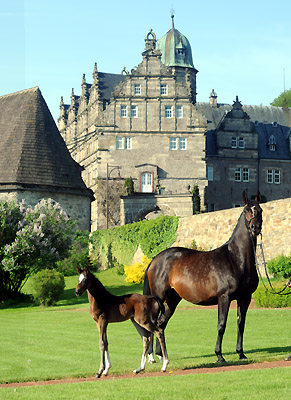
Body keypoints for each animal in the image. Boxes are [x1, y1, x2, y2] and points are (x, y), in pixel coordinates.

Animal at [143, 192, 264, 364]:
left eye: (260, 210)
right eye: (246, 210)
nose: (255, 227)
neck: (236, 258)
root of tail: (155, 259)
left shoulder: (245, 298)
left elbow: (241, 324)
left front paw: (241, 354)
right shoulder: (224, 297)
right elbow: (221, 325)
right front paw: (219, 355)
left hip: (172, 300)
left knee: (161, 324)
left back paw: (162, 355)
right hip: (158, 297)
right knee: (153, 324)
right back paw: (152, 357)